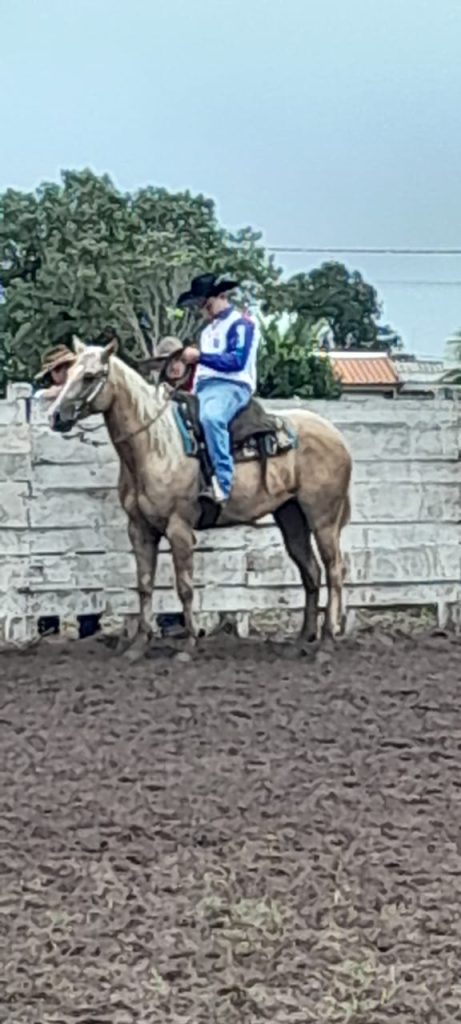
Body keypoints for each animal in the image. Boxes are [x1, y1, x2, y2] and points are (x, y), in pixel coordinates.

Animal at [48, 337, 352, 658]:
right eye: (68, 374)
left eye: (90, 376)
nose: (54, 416)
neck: (155, 444)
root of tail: (335, 435)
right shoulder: (140, 529)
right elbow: (144, 585)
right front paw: (139, 644)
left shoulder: (179, 528)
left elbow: (185, 586)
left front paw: (189, 644)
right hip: (291, 516)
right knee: (311, 571)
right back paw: (302, 640)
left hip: (323, 519)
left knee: (334, 570)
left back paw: (326, 642)